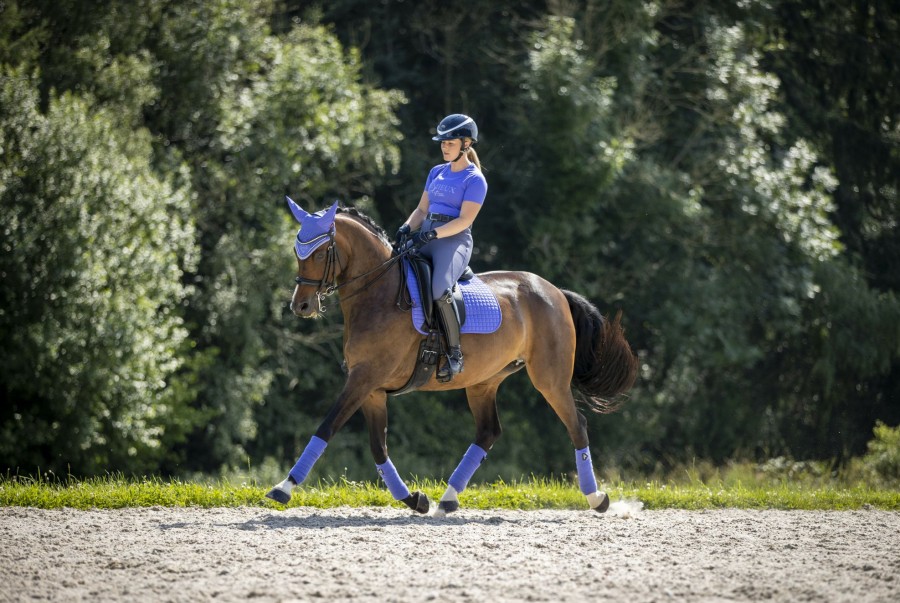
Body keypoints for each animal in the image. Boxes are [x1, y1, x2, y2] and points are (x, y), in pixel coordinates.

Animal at [264, 202, 636, 516]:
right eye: (297, 252)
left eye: (320, 252)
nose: (301, 305)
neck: (379, 294)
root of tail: (555, 291)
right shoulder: (371, 389)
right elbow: (378, 447)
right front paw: (414, 499)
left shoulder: (364, 379)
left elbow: (327, 427)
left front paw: (284, 487)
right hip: (484, 381)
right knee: (488, 432)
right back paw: (448, 498)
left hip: (550, 379)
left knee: (577, 425)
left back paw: (597, 498)